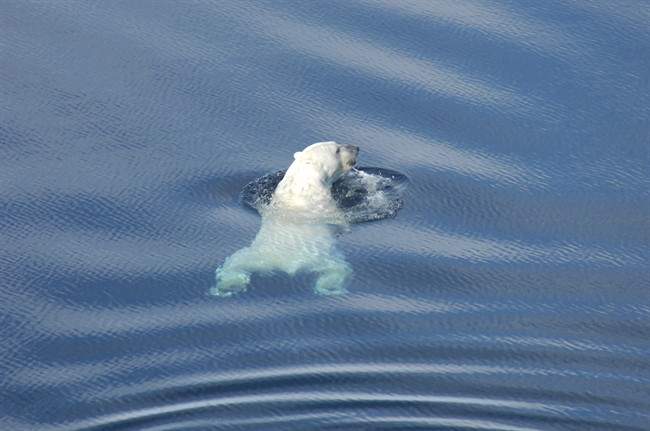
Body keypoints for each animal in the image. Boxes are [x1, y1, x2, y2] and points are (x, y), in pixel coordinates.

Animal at [210, 141, 359, 297]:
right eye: (337, 149)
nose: (356, 148)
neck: (302, 184)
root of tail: (285, 263)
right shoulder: (326, 205)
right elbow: (341, 220)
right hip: (318, 256)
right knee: (339, 269)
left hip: (257, 255)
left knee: (234, 263)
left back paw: (227, 285)